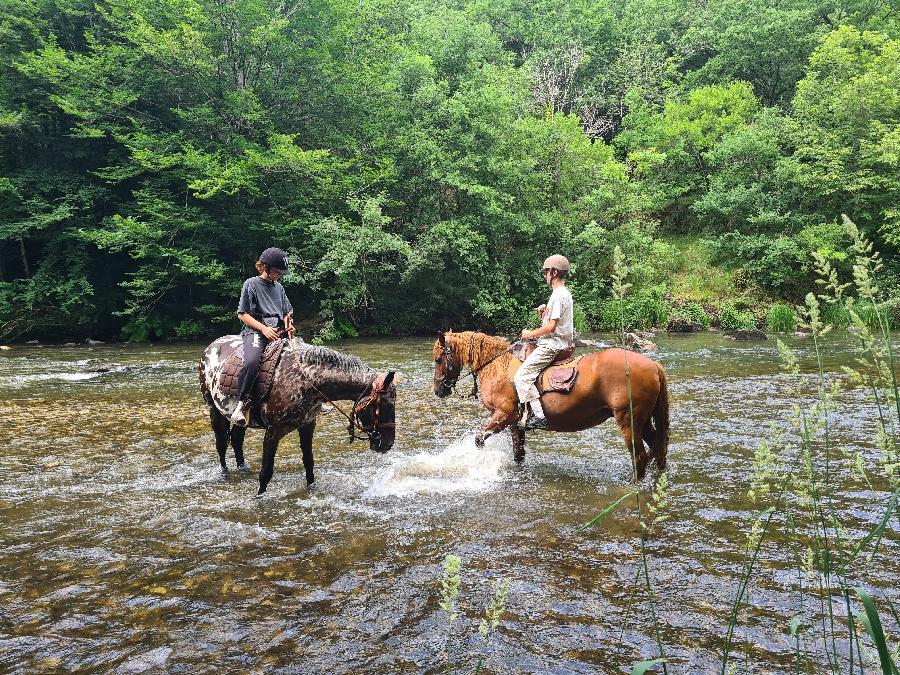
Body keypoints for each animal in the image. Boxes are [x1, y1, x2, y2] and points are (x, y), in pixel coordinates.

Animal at [200, 338, 398, 496]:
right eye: (385, 404)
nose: (387, 444)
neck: (305, 380)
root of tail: (211, 346)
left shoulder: (307, 425)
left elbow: (309, 462)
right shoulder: (272, 433)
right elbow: (266, 471)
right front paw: (258, 497)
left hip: (241, 420)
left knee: (236, 439)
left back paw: (243, 468)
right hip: (214, 409)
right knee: (221, 443)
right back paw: (224, 472)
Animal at [432, 332, 672, 480]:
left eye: (438, 359)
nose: (438, 391)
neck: (497, 365)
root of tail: (653, 365)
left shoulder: (504, 415)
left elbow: (479, 440)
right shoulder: (516, 423)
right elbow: (518, 454)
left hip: (628, 420)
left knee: (640, 457)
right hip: (644, 421)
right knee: (657, 450)